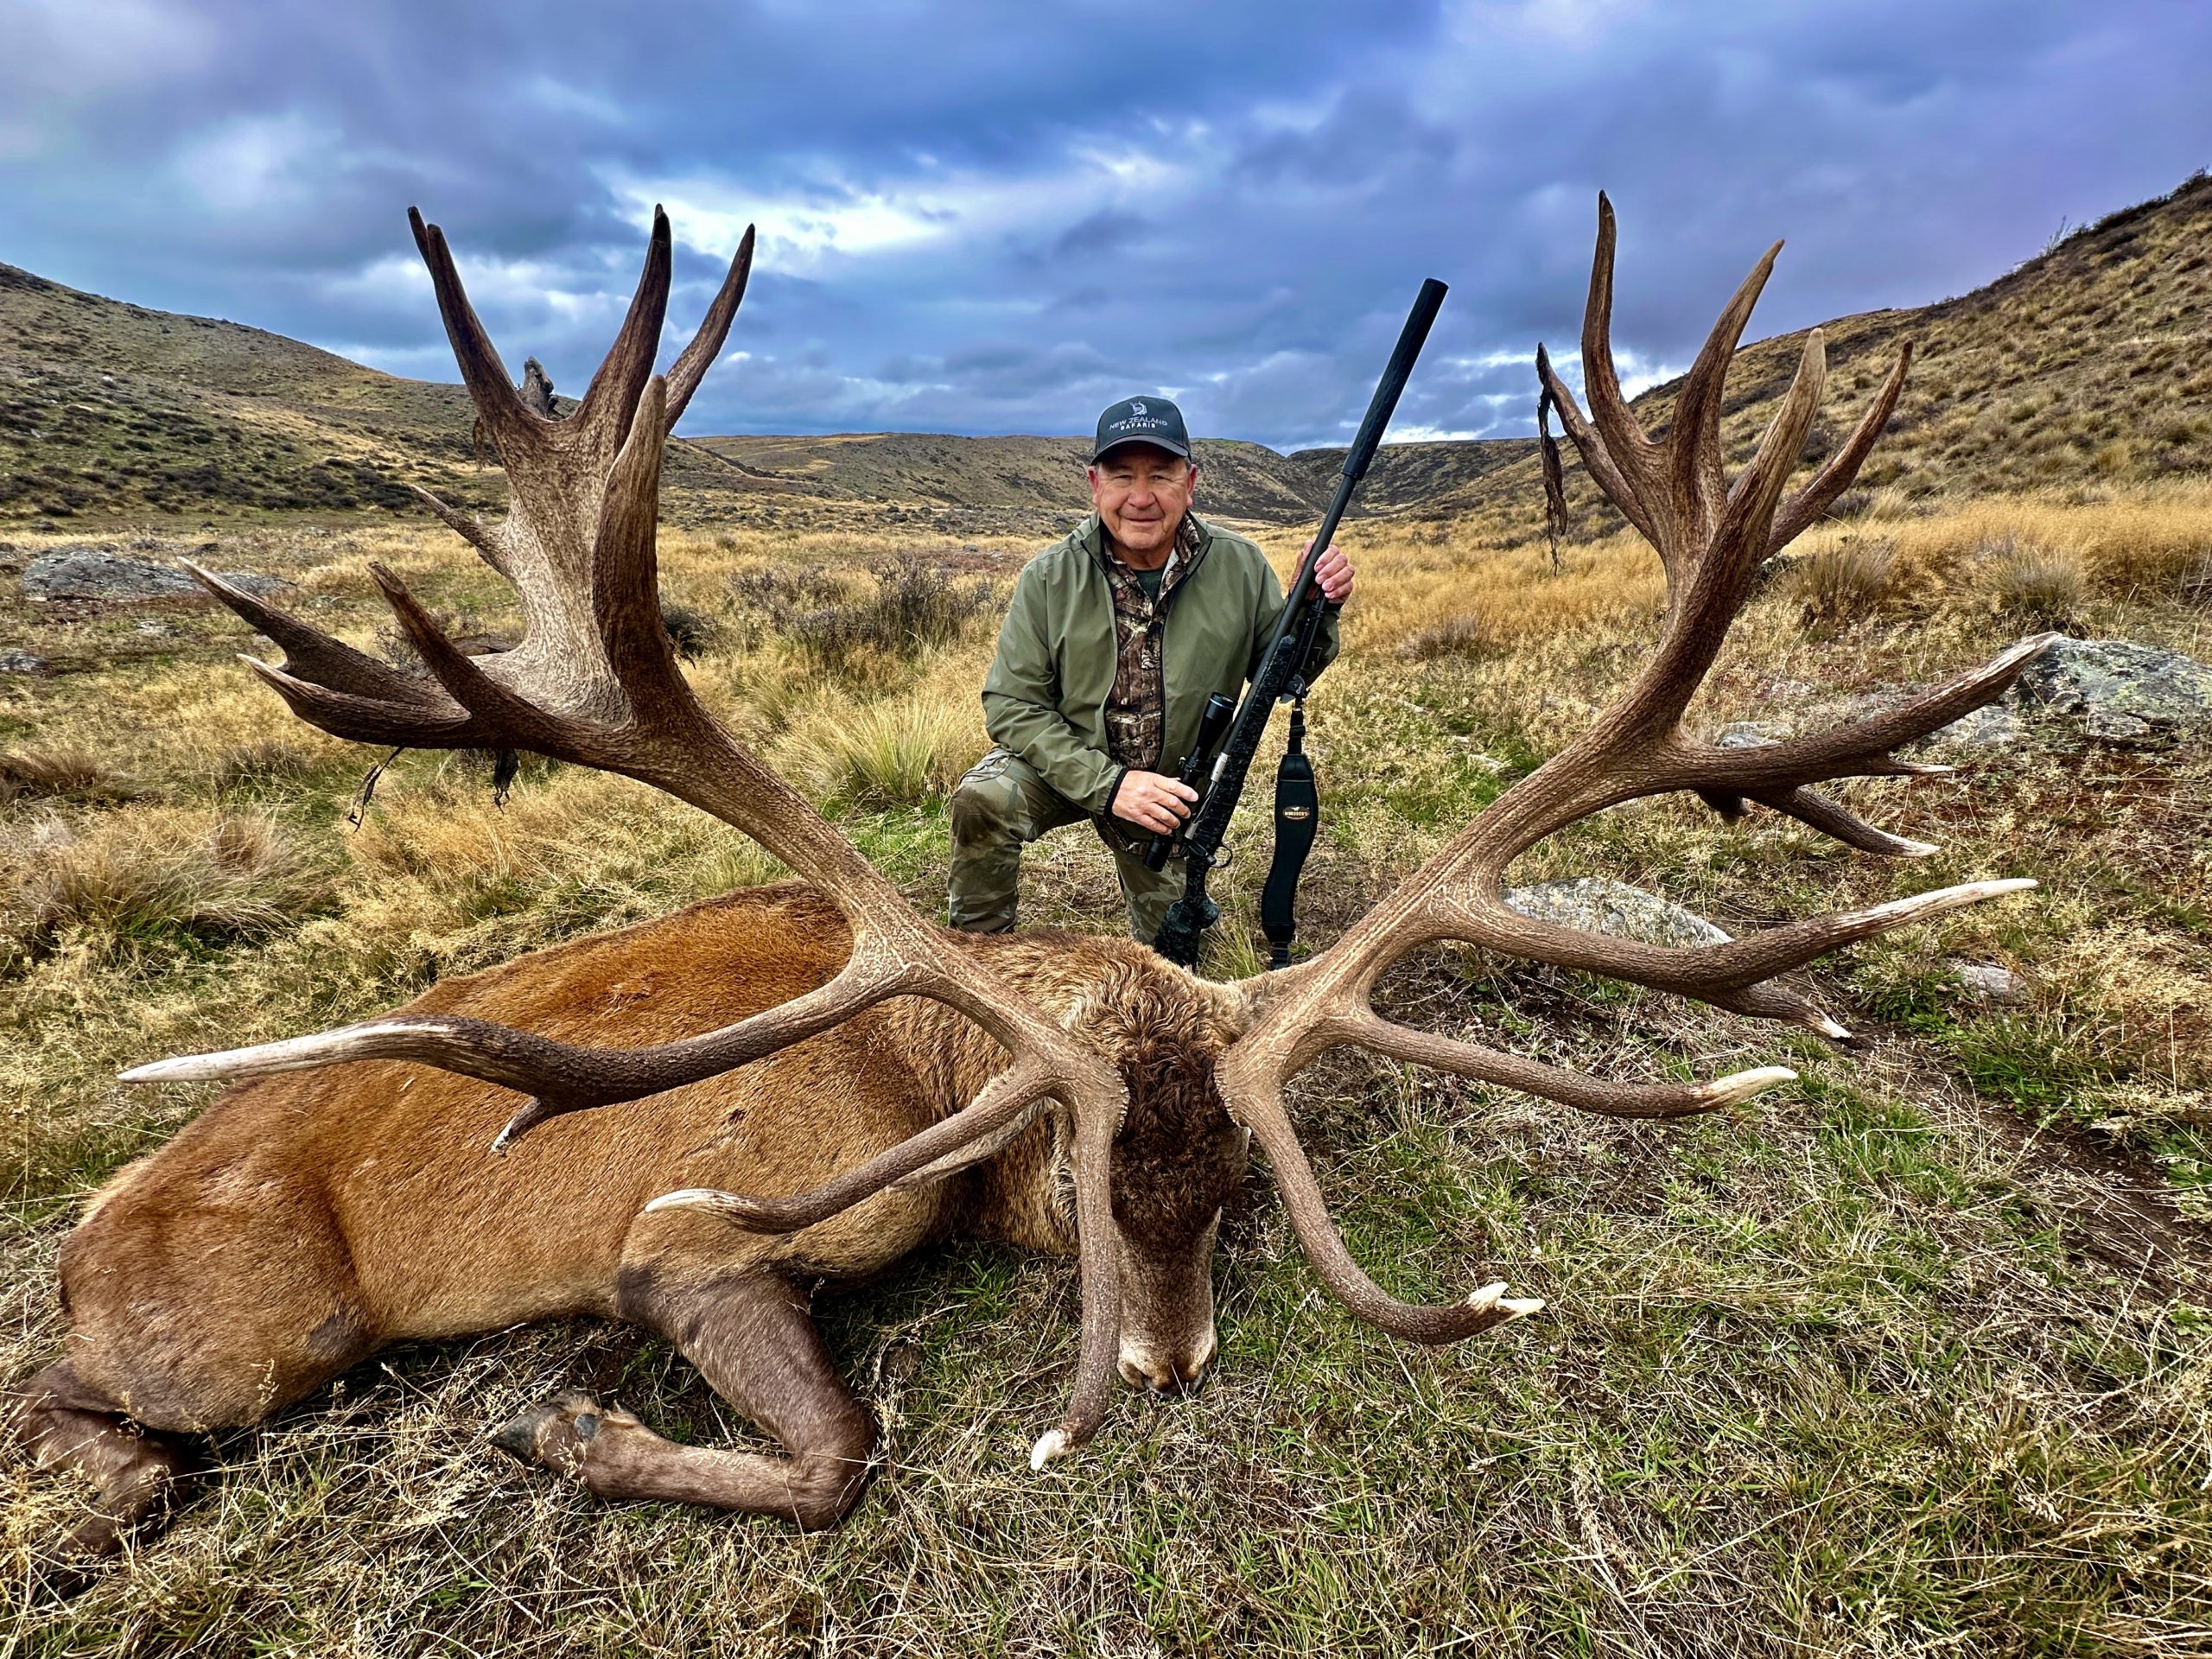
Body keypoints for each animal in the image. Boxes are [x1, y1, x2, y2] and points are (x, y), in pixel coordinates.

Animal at [9, 195, 2056, 1563]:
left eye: (1239, 1188)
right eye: (1077, 1189)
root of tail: (93, 1227)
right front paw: (568, 1431)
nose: (1163, 1367)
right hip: (252, 1328)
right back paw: (118, 1477)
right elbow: (840, 1448)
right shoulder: (690, 1221)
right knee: (85, 1404)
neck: (936, 1073)